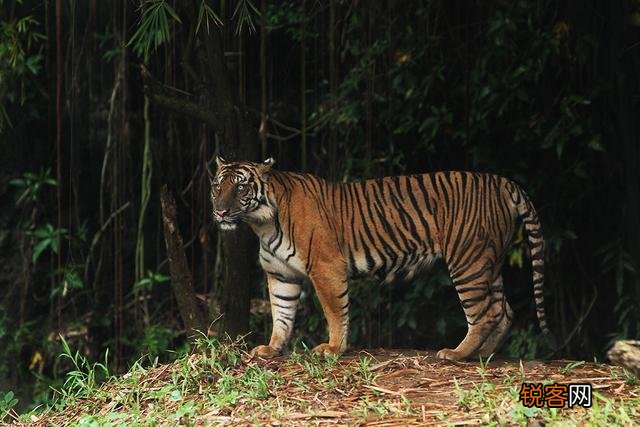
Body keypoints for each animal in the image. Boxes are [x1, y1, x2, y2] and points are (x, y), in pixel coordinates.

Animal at [209, 157, 552, 361]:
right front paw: (272, 348)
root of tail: (502, 181)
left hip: (468, 260)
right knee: (504, 310)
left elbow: (335, 311)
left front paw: (333, 349)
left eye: (240, 186)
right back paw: (483, 355)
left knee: (485, 312)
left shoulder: (326, 267)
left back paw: (456, 354)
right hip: (488, 262)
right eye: (217, 186)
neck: (262, 224)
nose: (220, 211)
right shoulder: (281, 274)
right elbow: (281, 313)